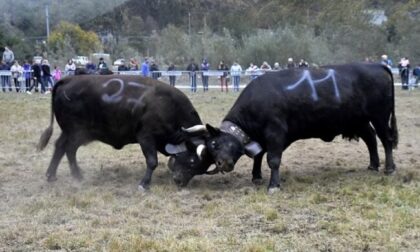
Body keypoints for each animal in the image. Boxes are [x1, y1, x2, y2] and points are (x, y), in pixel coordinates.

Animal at [172, 63, 398, 193]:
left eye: (215, 143)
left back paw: (389, 168)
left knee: (385, 139)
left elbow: (272, 159)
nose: (222, 164)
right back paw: (373, 165)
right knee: (370, 139)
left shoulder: (275, 133)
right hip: (360, 120)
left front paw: (273, 185)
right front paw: (256, 176)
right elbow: (258, 155)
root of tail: (377, 65)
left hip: (379, 116)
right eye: (211, 147)